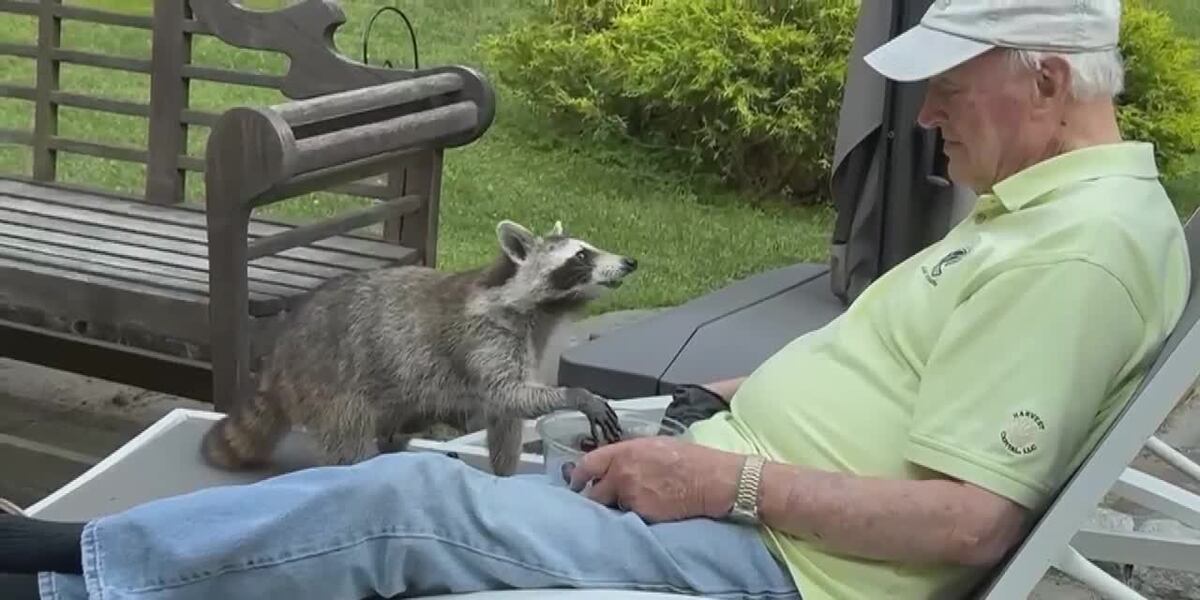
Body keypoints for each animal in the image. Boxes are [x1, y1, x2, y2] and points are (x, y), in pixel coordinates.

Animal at [200, 219, 634, 476]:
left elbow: (506, 419)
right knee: (348, 437)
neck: (542, 311)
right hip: (330, 381)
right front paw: (576, 394)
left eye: (588, 247)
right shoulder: (484, 338)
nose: (630, 262)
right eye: (581, 255)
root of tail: (281, 354)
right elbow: (507, 394)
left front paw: (504, 474)